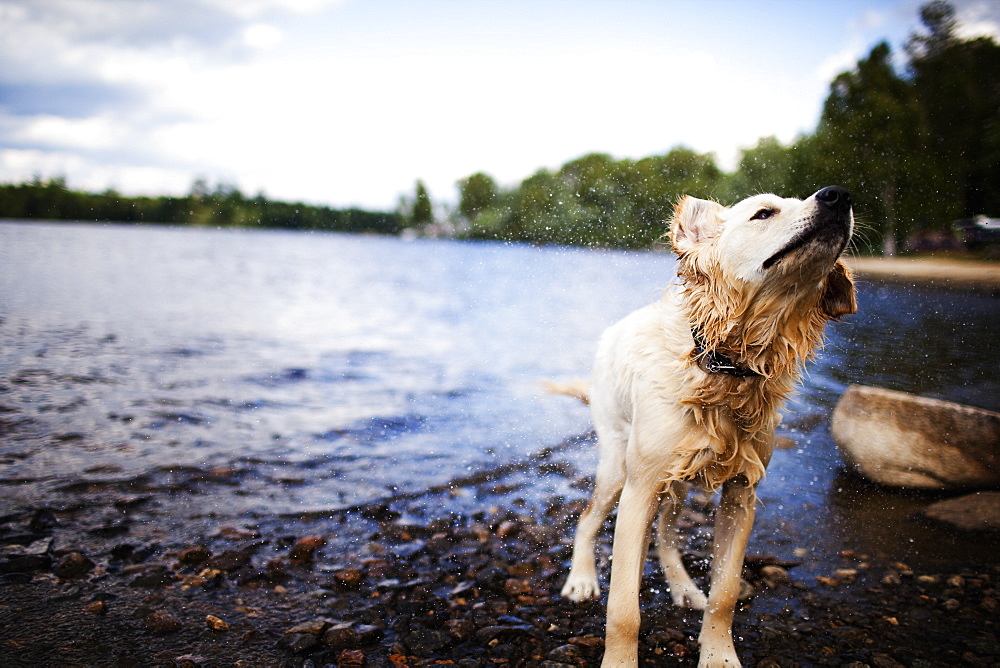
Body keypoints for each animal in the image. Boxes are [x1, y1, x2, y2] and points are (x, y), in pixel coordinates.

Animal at [552, 185, 856, 664]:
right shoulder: (640, 488)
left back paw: (683, 587)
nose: (838, 196)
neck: (723, 367)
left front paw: (719, 654)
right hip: (619, 466)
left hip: (677, 480)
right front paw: (620, 660)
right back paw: (581, 579)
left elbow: (726, 593)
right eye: (763, 213)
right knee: (587, 519)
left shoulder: (741, 495)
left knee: (665, 535)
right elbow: (623, 608)